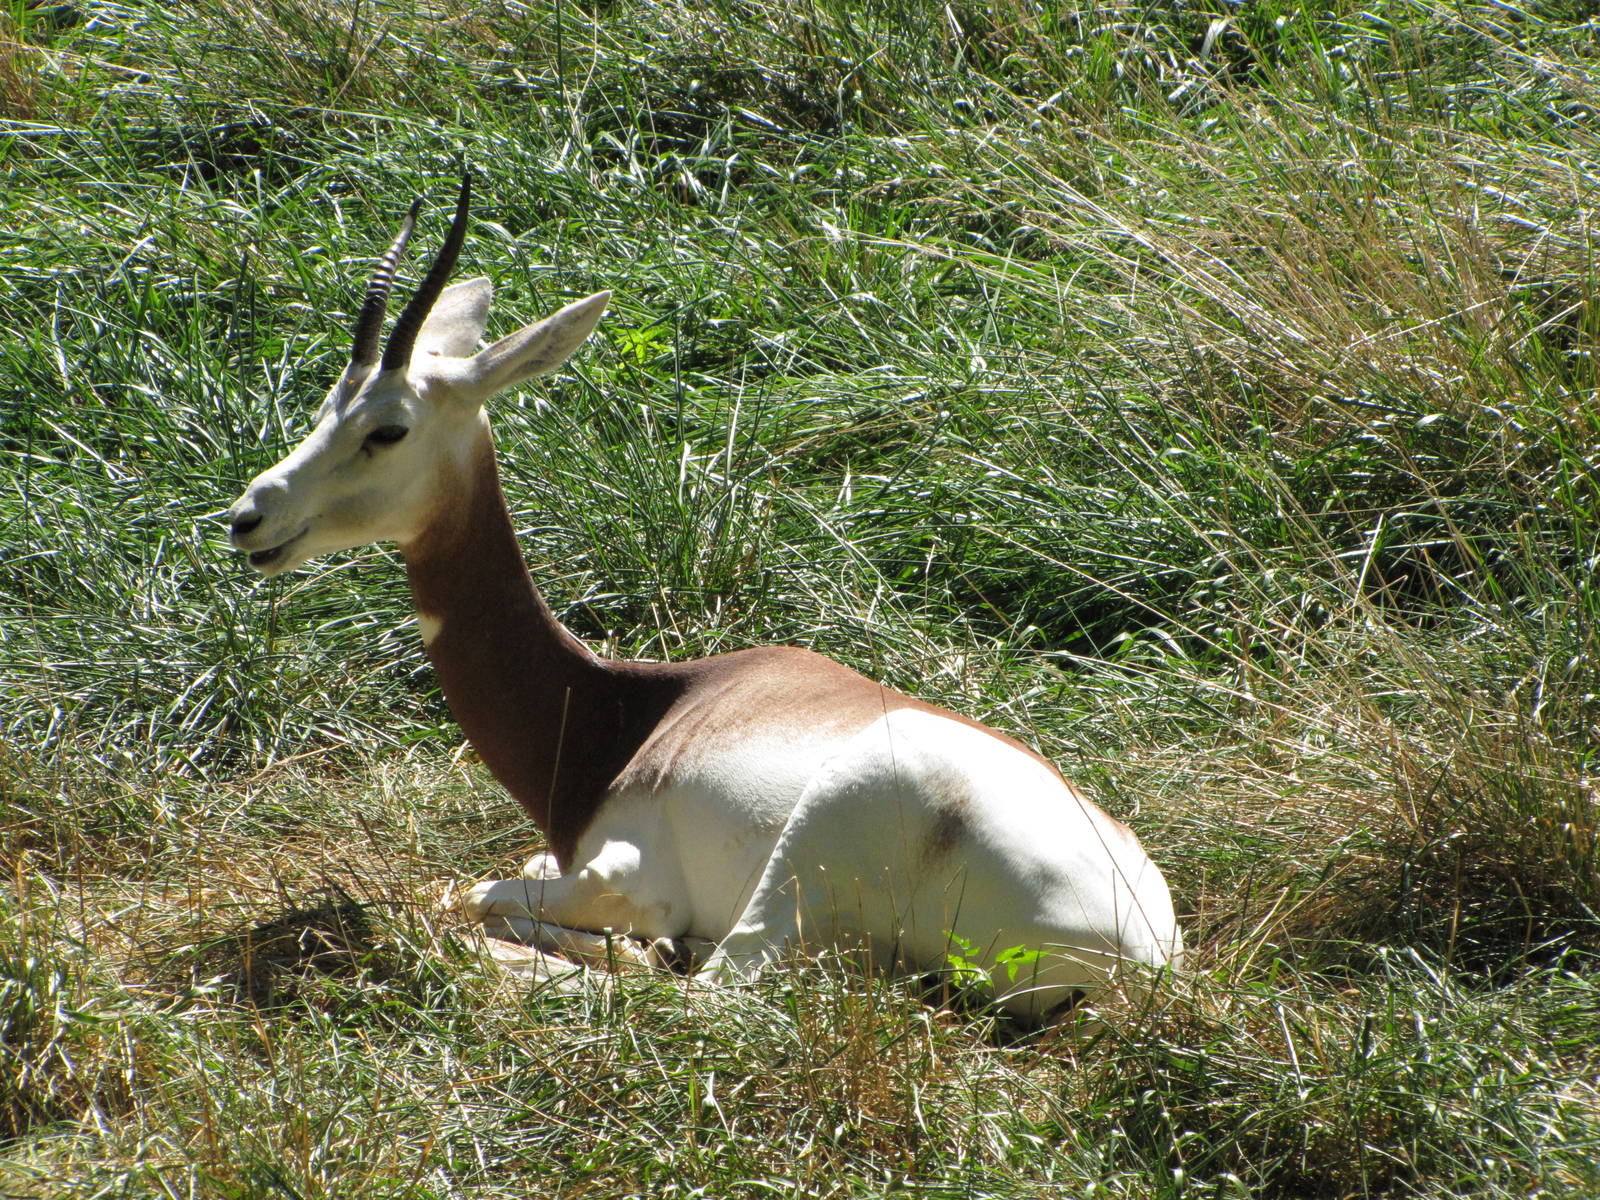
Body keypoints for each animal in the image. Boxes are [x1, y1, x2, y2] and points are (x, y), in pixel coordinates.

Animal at [226, 178, 1182, 1020]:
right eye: (327, 401)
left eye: (387, 429)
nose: (247, 517)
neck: (619, 716)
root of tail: (1142, 960)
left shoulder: (617, 873)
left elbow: (466, 891)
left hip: (807, 858)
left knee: (711, 990)